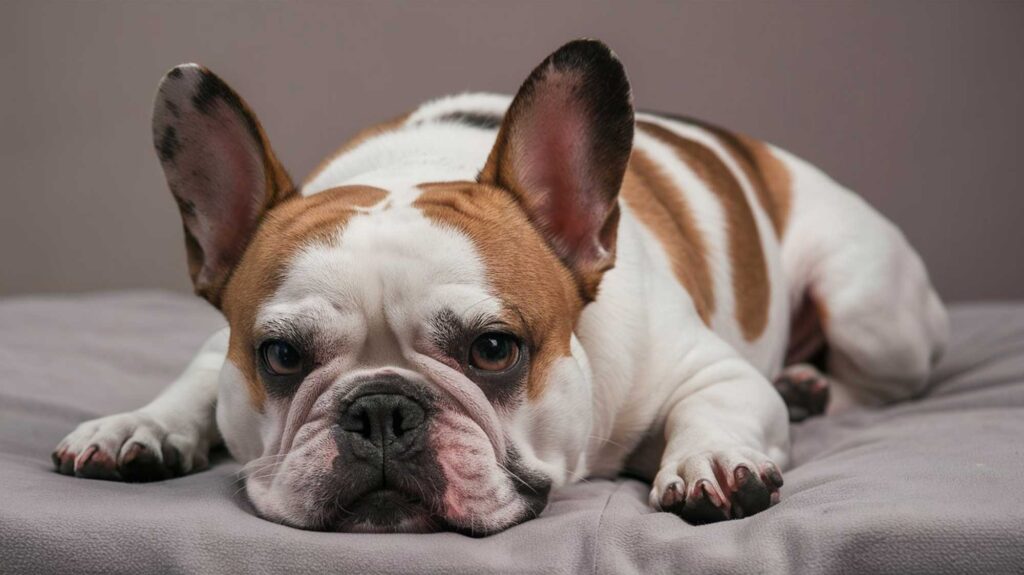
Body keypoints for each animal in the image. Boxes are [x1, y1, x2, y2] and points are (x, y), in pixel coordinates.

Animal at [51, 39, 946, 532]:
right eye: (280, 356)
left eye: (493, 349)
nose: (382, 407)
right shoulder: (222, 343)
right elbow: (195, 380)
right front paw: (139, 424)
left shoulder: (714, 369)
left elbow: (717, 404)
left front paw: (713, 460)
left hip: (869, 310)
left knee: (879, 381)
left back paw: (805, 387)